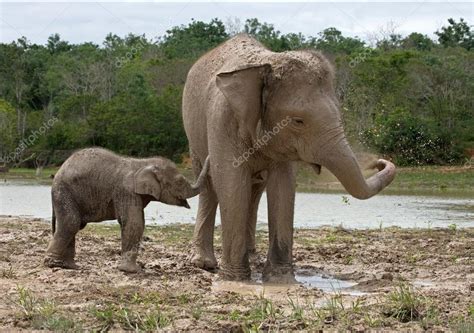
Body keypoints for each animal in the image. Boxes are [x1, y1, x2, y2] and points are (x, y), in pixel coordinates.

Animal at [45, 148, 209, 272]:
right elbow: (134, 223)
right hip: (64, 192)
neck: (143, 162)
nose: (208, 155)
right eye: (180, 182)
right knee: (71, 223)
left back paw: (69, 266)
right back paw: (54, 264)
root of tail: (58, 172)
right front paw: (132, 270)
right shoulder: (127, 191)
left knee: (73, 225)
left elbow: (138, 221)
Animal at [182, 35, 396, 282]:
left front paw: (280, 280)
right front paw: (234, 280)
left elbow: (282, 185)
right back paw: (203, 263)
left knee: (255, 190)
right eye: (298, 121)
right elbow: (232, 182)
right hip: (194, 136)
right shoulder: (223, 120)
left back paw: (252, 257)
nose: (377, 162)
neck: (267, 64)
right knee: (210, 187)